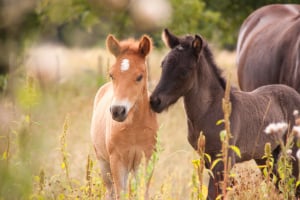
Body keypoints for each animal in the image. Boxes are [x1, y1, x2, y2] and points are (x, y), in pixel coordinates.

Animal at [90, 34, 158, 198]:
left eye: (139, 76)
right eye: (111, 75)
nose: (117, 111)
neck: (134, 128)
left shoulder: (145, 159)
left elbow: (142, 193)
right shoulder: (117, 160)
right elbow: (120, 193)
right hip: (104, 163)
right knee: (110, 191)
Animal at [150, 28, 300, 199]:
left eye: (184, 71)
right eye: (163, 65)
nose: (154, 101)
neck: (209, 110)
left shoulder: (225, 159)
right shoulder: (207, 159)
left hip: (292, 152)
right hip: (265, 156)